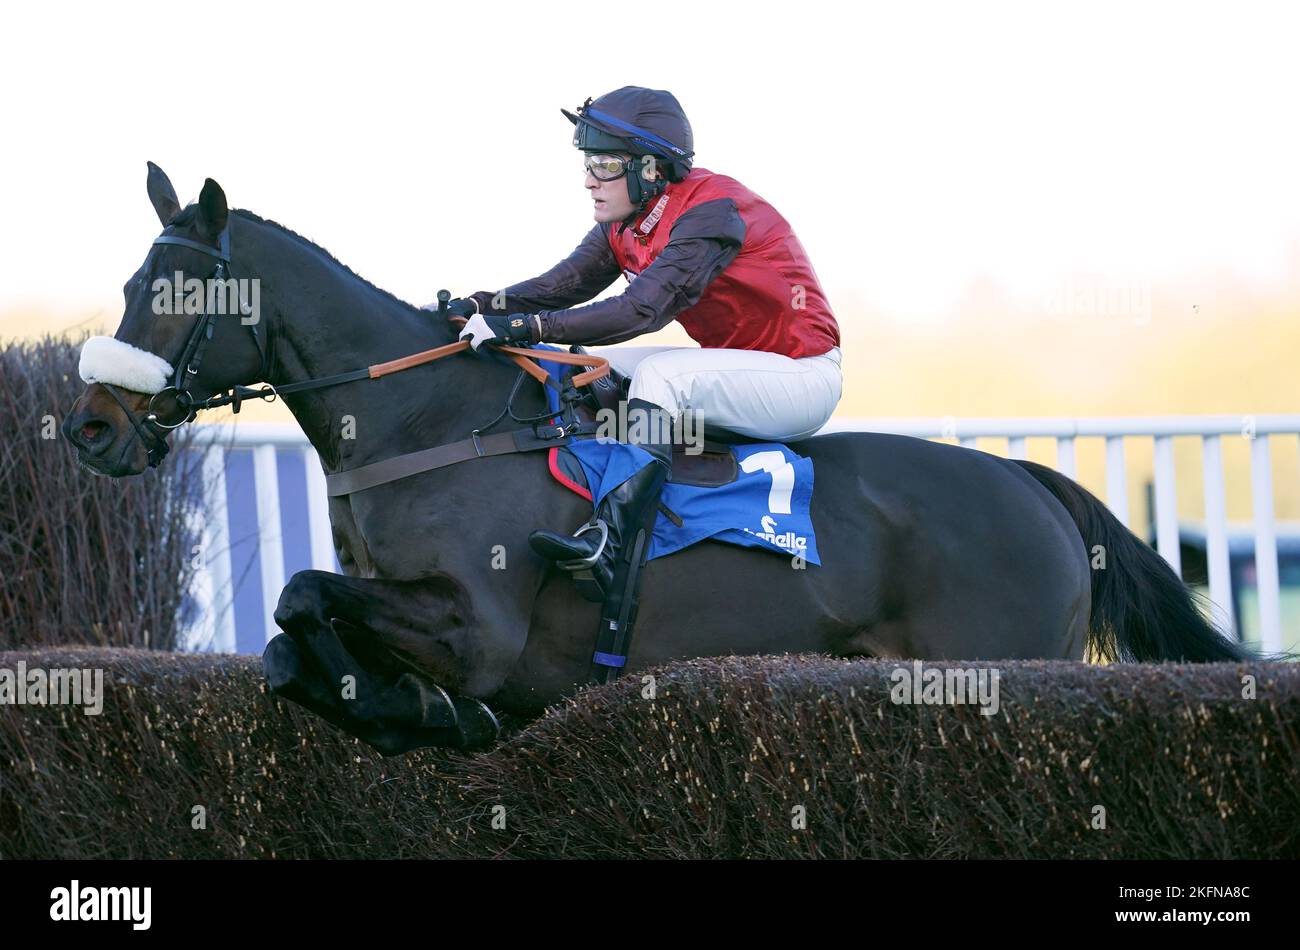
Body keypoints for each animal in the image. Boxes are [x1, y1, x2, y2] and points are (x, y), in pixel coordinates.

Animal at [63, 165, 1258, 758]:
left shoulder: (477, 626)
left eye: (180, 289)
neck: (425, 421)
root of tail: (1034, 484)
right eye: (128, 281)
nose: (92, 427)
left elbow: (303, 598)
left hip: (1004, 668)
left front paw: (417, 709)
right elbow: (282, 644)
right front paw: (401, 708)